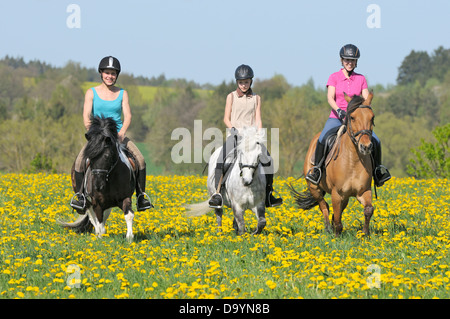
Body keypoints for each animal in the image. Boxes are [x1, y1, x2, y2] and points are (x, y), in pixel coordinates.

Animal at [290, 91, 374, 236]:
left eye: (372, 117)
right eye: (352, 117)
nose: (366, 147)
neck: (353, 162)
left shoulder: (363, 191)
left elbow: (368, 209)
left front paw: (365, 234)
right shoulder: (336, 193)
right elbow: (337, 218)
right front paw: (336, 235)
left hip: (345, 196)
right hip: (315, 188)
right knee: (324, 206)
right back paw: (328, 229)